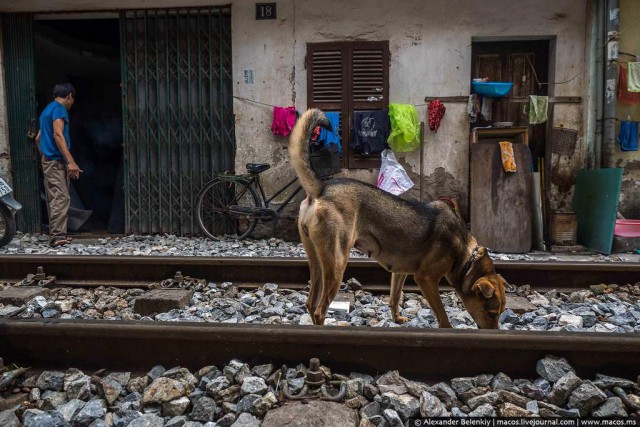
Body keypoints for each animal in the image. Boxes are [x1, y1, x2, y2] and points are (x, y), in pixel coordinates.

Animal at [288, 108, 504, 330]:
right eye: (491, 313)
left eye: (501, 312)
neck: (467, 255)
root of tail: (322, 188)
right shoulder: (425, 278)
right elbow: (443, 316)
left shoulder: (400, 271)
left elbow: (395, 296)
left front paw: (397, 318)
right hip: (337, 263)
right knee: (319, 309)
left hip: (317, 259)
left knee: (310, 303)